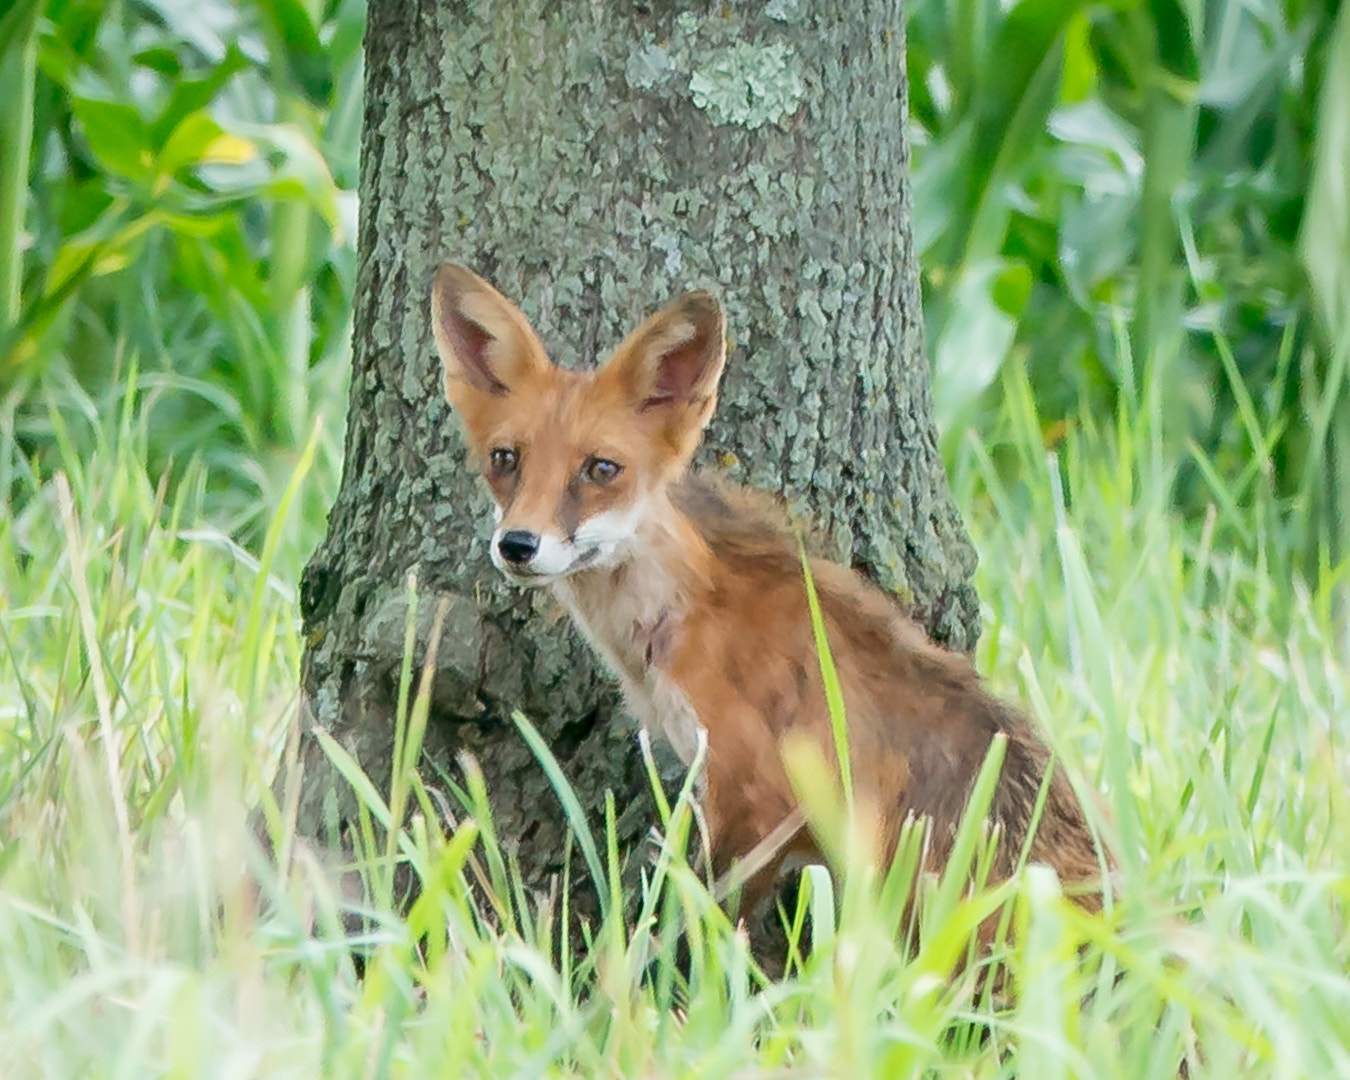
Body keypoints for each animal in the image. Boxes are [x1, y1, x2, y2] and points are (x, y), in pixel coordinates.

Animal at [429, 263, 1107, 928]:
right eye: (505, 459)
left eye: (601, 469)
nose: (518, 545)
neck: (684, 618)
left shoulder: (762, 800)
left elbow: (701, 929)